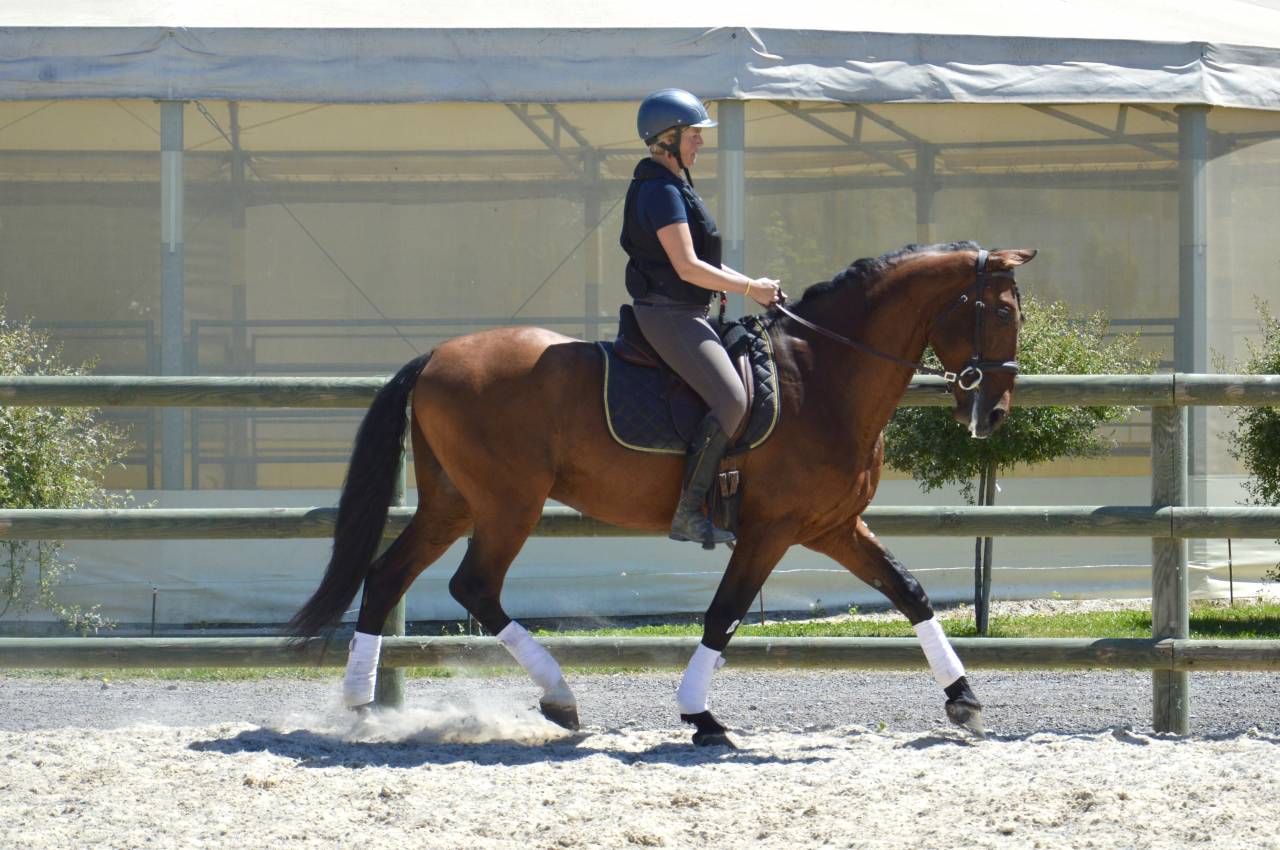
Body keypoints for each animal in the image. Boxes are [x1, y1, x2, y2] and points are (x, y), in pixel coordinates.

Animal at [287, 241, 1035, 746]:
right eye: (1000, 312)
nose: (994, 414)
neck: (821, 376)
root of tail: (437, 356)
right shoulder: (772, 530)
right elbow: (723, 615)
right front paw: (701, 718)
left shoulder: (832, 526)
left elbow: (908, 591)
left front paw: (963, 698)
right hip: (507, 504)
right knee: (474, 587)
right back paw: (559, 697)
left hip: (454, 502)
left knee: (386, 577)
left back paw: (361, 711)